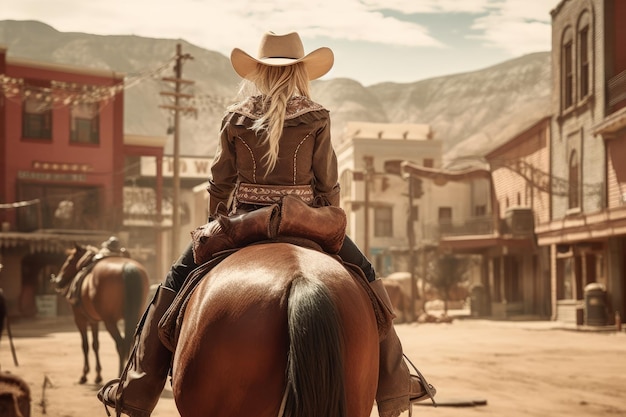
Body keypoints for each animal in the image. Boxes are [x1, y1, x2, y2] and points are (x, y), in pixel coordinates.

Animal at [51, 244, 149, 384]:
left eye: (69, 260)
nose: (58, 280)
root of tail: (128, 268)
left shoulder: (80, 319)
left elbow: (85, 345)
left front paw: (84, 374)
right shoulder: (94, 321)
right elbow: (95, 345)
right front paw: (98, 375)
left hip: (110, 322)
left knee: (121, 344)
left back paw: (119, 375)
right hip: (136, 316)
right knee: (131, 344)